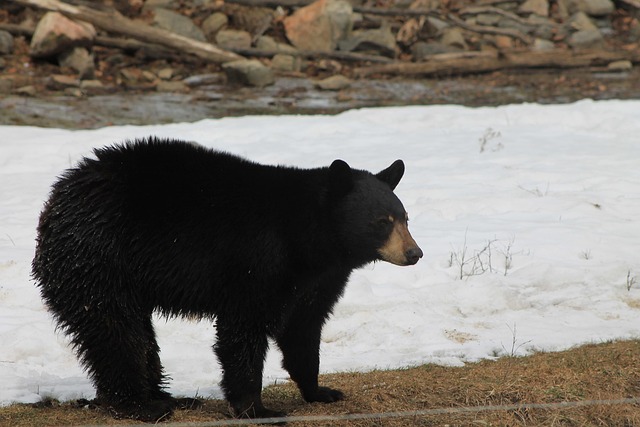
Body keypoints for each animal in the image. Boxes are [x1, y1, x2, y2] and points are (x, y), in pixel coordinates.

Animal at [32, 137, 422, 422]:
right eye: (381, 221)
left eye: (405, 217)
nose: (414, 253)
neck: (310, 240)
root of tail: (54, 203)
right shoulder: (256, 262)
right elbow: (244, 331)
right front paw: (256, 408)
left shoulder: (319, 278)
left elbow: (304, 329)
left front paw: (320, 391)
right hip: (99, 261)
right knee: (115, 331)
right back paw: (141, 405)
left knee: (138, 334)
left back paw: (170, 396)